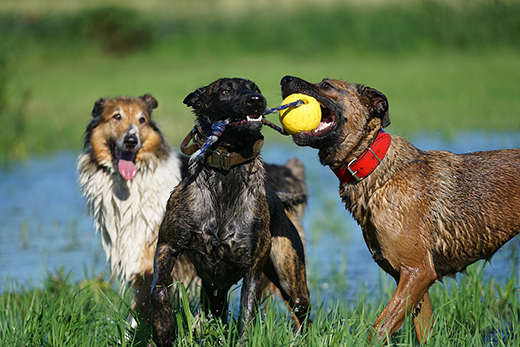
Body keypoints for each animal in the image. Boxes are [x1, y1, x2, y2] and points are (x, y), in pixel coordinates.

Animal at [152, 77, 310, 346]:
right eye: (224, 90)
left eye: (255, 89)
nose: (256, 100)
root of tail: (278, 197)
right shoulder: (167, 246)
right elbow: (159, 291)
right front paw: (164, 330)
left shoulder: (253, 270)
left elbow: (246, 315)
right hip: (213, 287)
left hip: (290, 277)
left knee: (304, 313)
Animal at [282, 75, 520, 344]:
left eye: (326, 85)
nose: (284, 79)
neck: (373, 167)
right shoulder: (410, 277)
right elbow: (423, 329)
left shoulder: (418, 272)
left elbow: (379, 328)